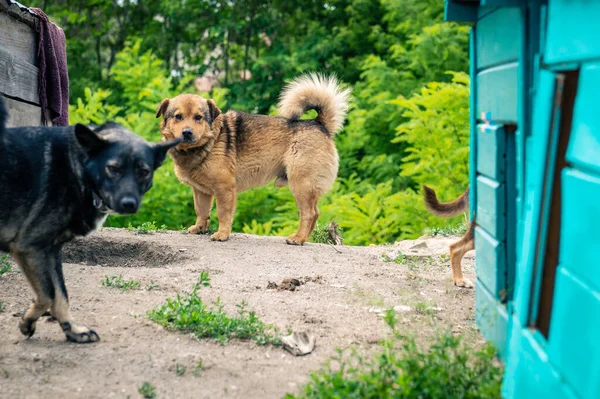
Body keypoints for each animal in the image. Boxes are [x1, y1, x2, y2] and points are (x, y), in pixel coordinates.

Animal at [0, 97, 182, 344]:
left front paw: (73, 331)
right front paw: (27, 322)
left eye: (144, 172)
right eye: (113, 168)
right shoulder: (29, 247)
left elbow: (61, 295)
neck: (78, 166)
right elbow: (49, 295)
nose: (129, 204)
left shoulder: (51, 251)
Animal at [156, 73, 352, 245]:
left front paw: (222, 234)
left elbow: (223, 213)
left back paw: (297, 238)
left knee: (309, 214)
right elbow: (201, 211)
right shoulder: (200, 191)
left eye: (198, 117)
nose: (187, 132)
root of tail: (319, 124)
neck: (209, 142)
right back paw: (303, 238)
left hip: (301, 184)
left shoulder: (224, 188)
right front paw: (200, 228)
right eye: (178, 117)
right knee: (316, 213)